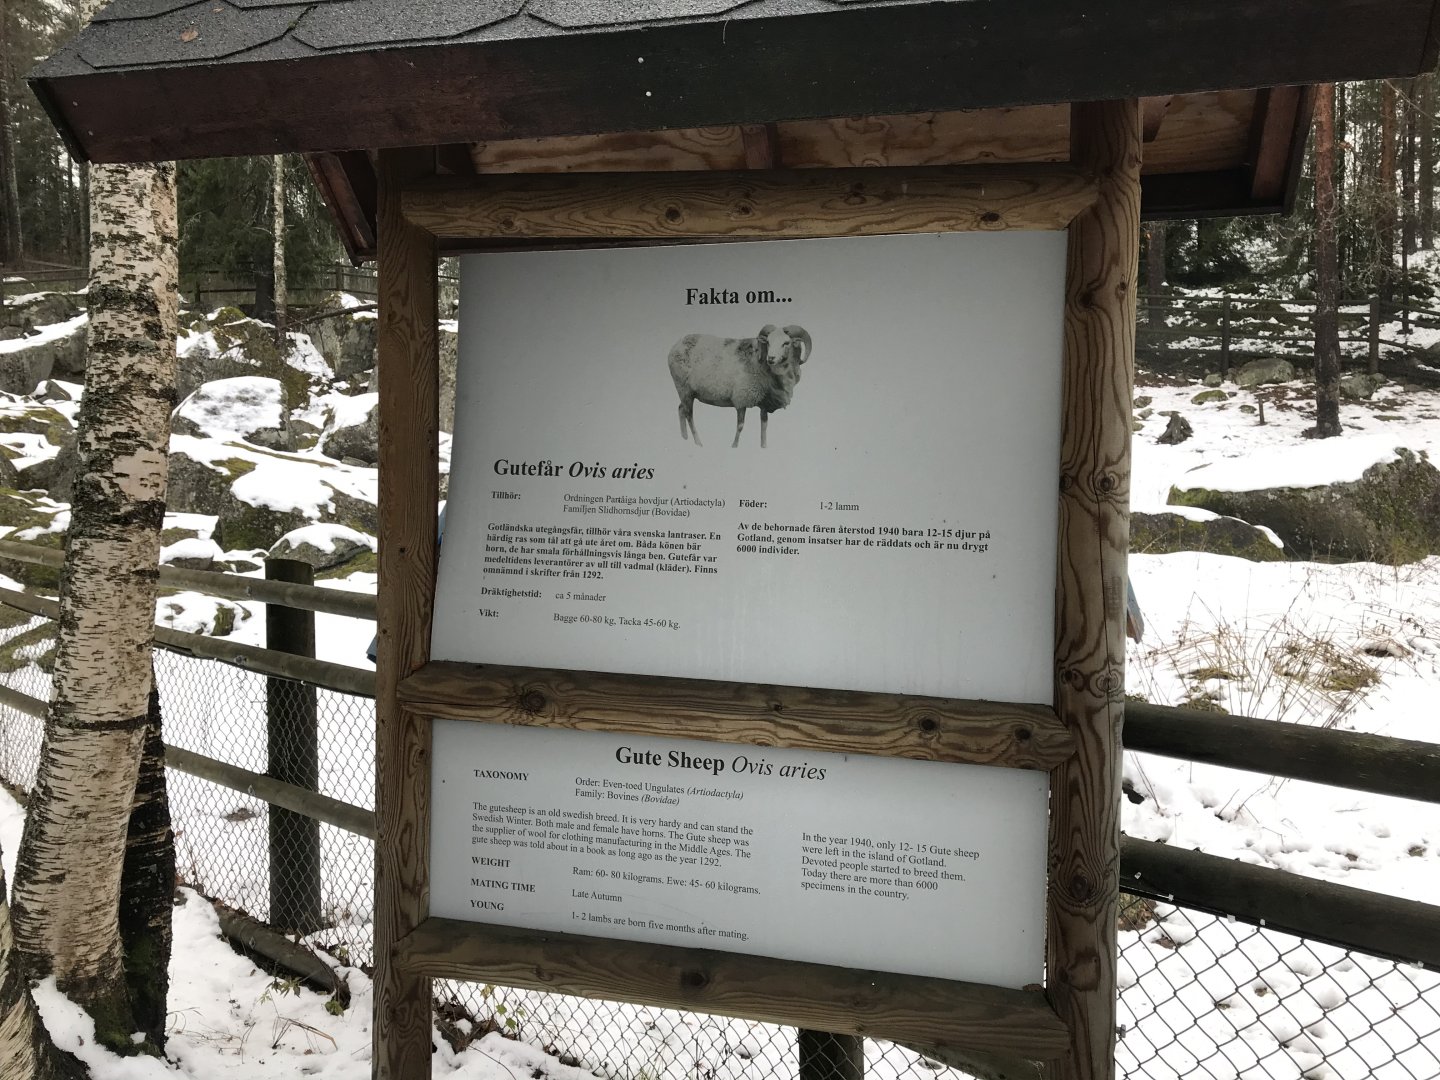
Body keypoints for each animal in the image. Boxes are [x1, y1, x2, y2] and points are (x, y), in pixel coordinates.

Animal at [667, 324, 812, 448]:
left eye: (786, 343)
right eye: (768, 342)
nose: (770, 358)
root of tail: (677, 344)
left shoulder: (764, 402)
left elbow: (764, 426)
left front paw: (763, 446)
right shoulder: (741, 398)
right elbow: (740, 426)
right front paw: (734, 446)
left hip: (687, 393)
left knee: (681, 409)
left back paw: (684, 438)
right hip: (684, 389)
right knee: (689, 415)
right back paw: (698, 443)